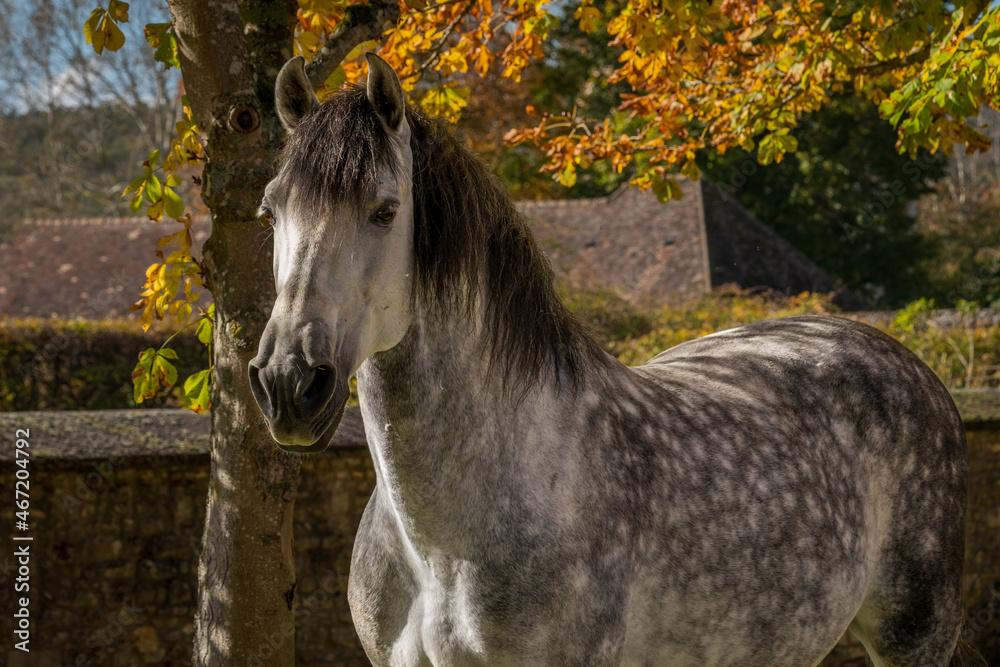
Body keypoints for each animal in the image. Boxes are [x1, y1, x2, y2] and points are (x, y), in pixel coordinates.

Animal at [248, 53, 969, 666]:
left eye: (384, 210)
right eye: (270, 209)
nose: (289, 382)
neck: (440, 547)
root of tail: (901, 360)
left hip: (914, 638)